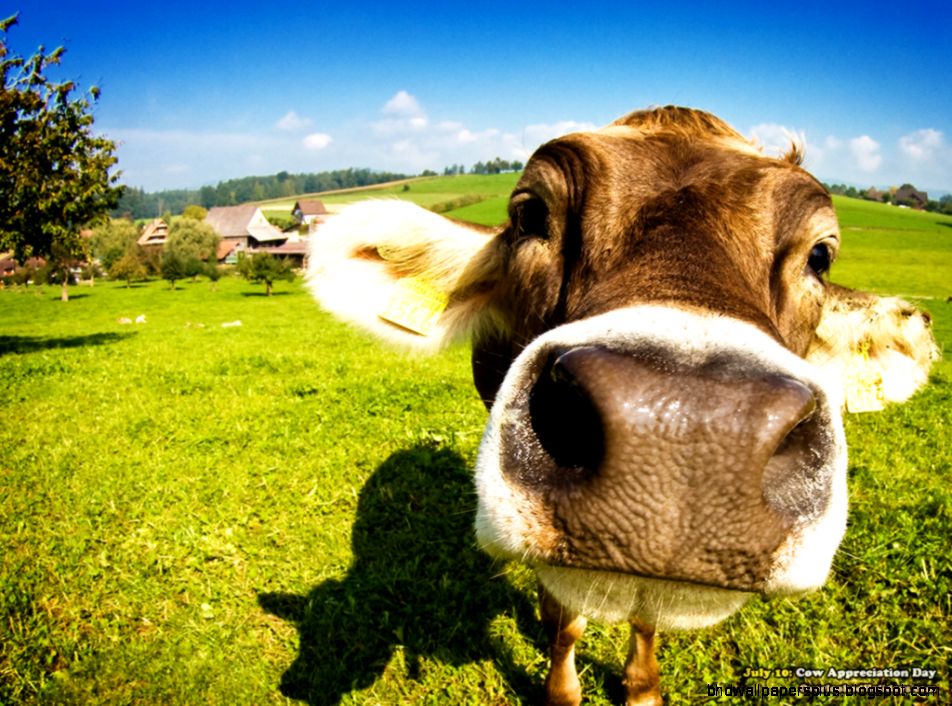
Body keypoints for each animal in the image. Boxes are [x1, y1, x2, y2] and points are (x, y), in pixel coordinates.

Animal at [305, 106, 938, 705]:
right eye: (530, 214)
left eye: (821, 256)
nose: (686, 426)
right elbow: (564, 621)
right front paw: (562, 692)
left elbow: (646, 618)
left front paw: (642, 688)